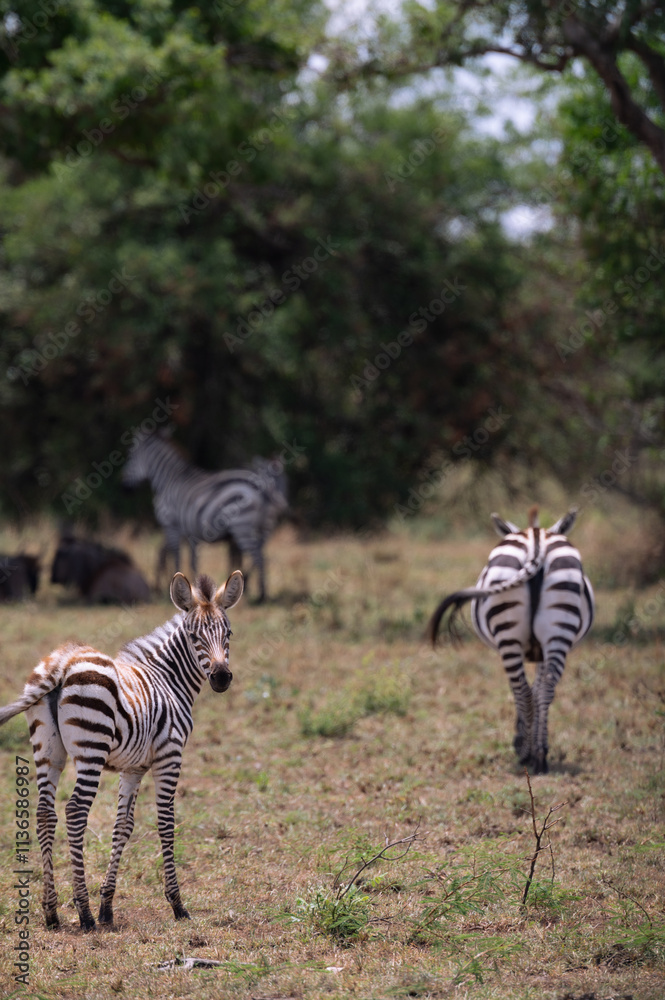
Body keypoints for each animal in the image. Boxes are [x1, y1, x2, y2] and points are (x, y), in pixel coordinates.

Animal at [0, 570, 244, 930]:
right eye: (193, 636)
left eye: (228, 633)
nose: (222, 678)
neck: (168, 681)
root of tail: (62, 663)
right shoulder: (169, 756)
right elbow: (165, 822)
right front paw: (177, 904)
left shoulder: (133, 767)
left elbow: (122, 827)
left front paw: (107, 906)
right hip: (91, 750)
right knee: (75, 812)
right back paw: (84, 913)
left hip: (48, 751)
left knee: (45, 813)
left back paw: (52, 911)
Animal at [122, 431, 288, 602]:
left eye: (130, 457)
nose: (124, 488)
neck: (169, 480)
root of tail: (264, 486)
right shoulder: (189, 532)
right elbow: (190, 559)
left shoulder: (171, 524)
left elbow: (175, 555)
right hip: (264, 525)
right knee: (261, 555)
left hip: (242, 525)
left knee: (259, 557)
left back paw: (261, 595)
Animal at [427, 506, 594, 774]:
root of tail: (536, 541)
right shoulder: (542, 651)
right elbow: (538, 687)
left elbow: (525, 692)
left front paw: (521, 740)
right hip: (559, 628)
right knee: (545, 689)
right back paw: (539, 755)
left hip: (509, 634)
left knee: (522, 690)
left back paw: (527, 754)